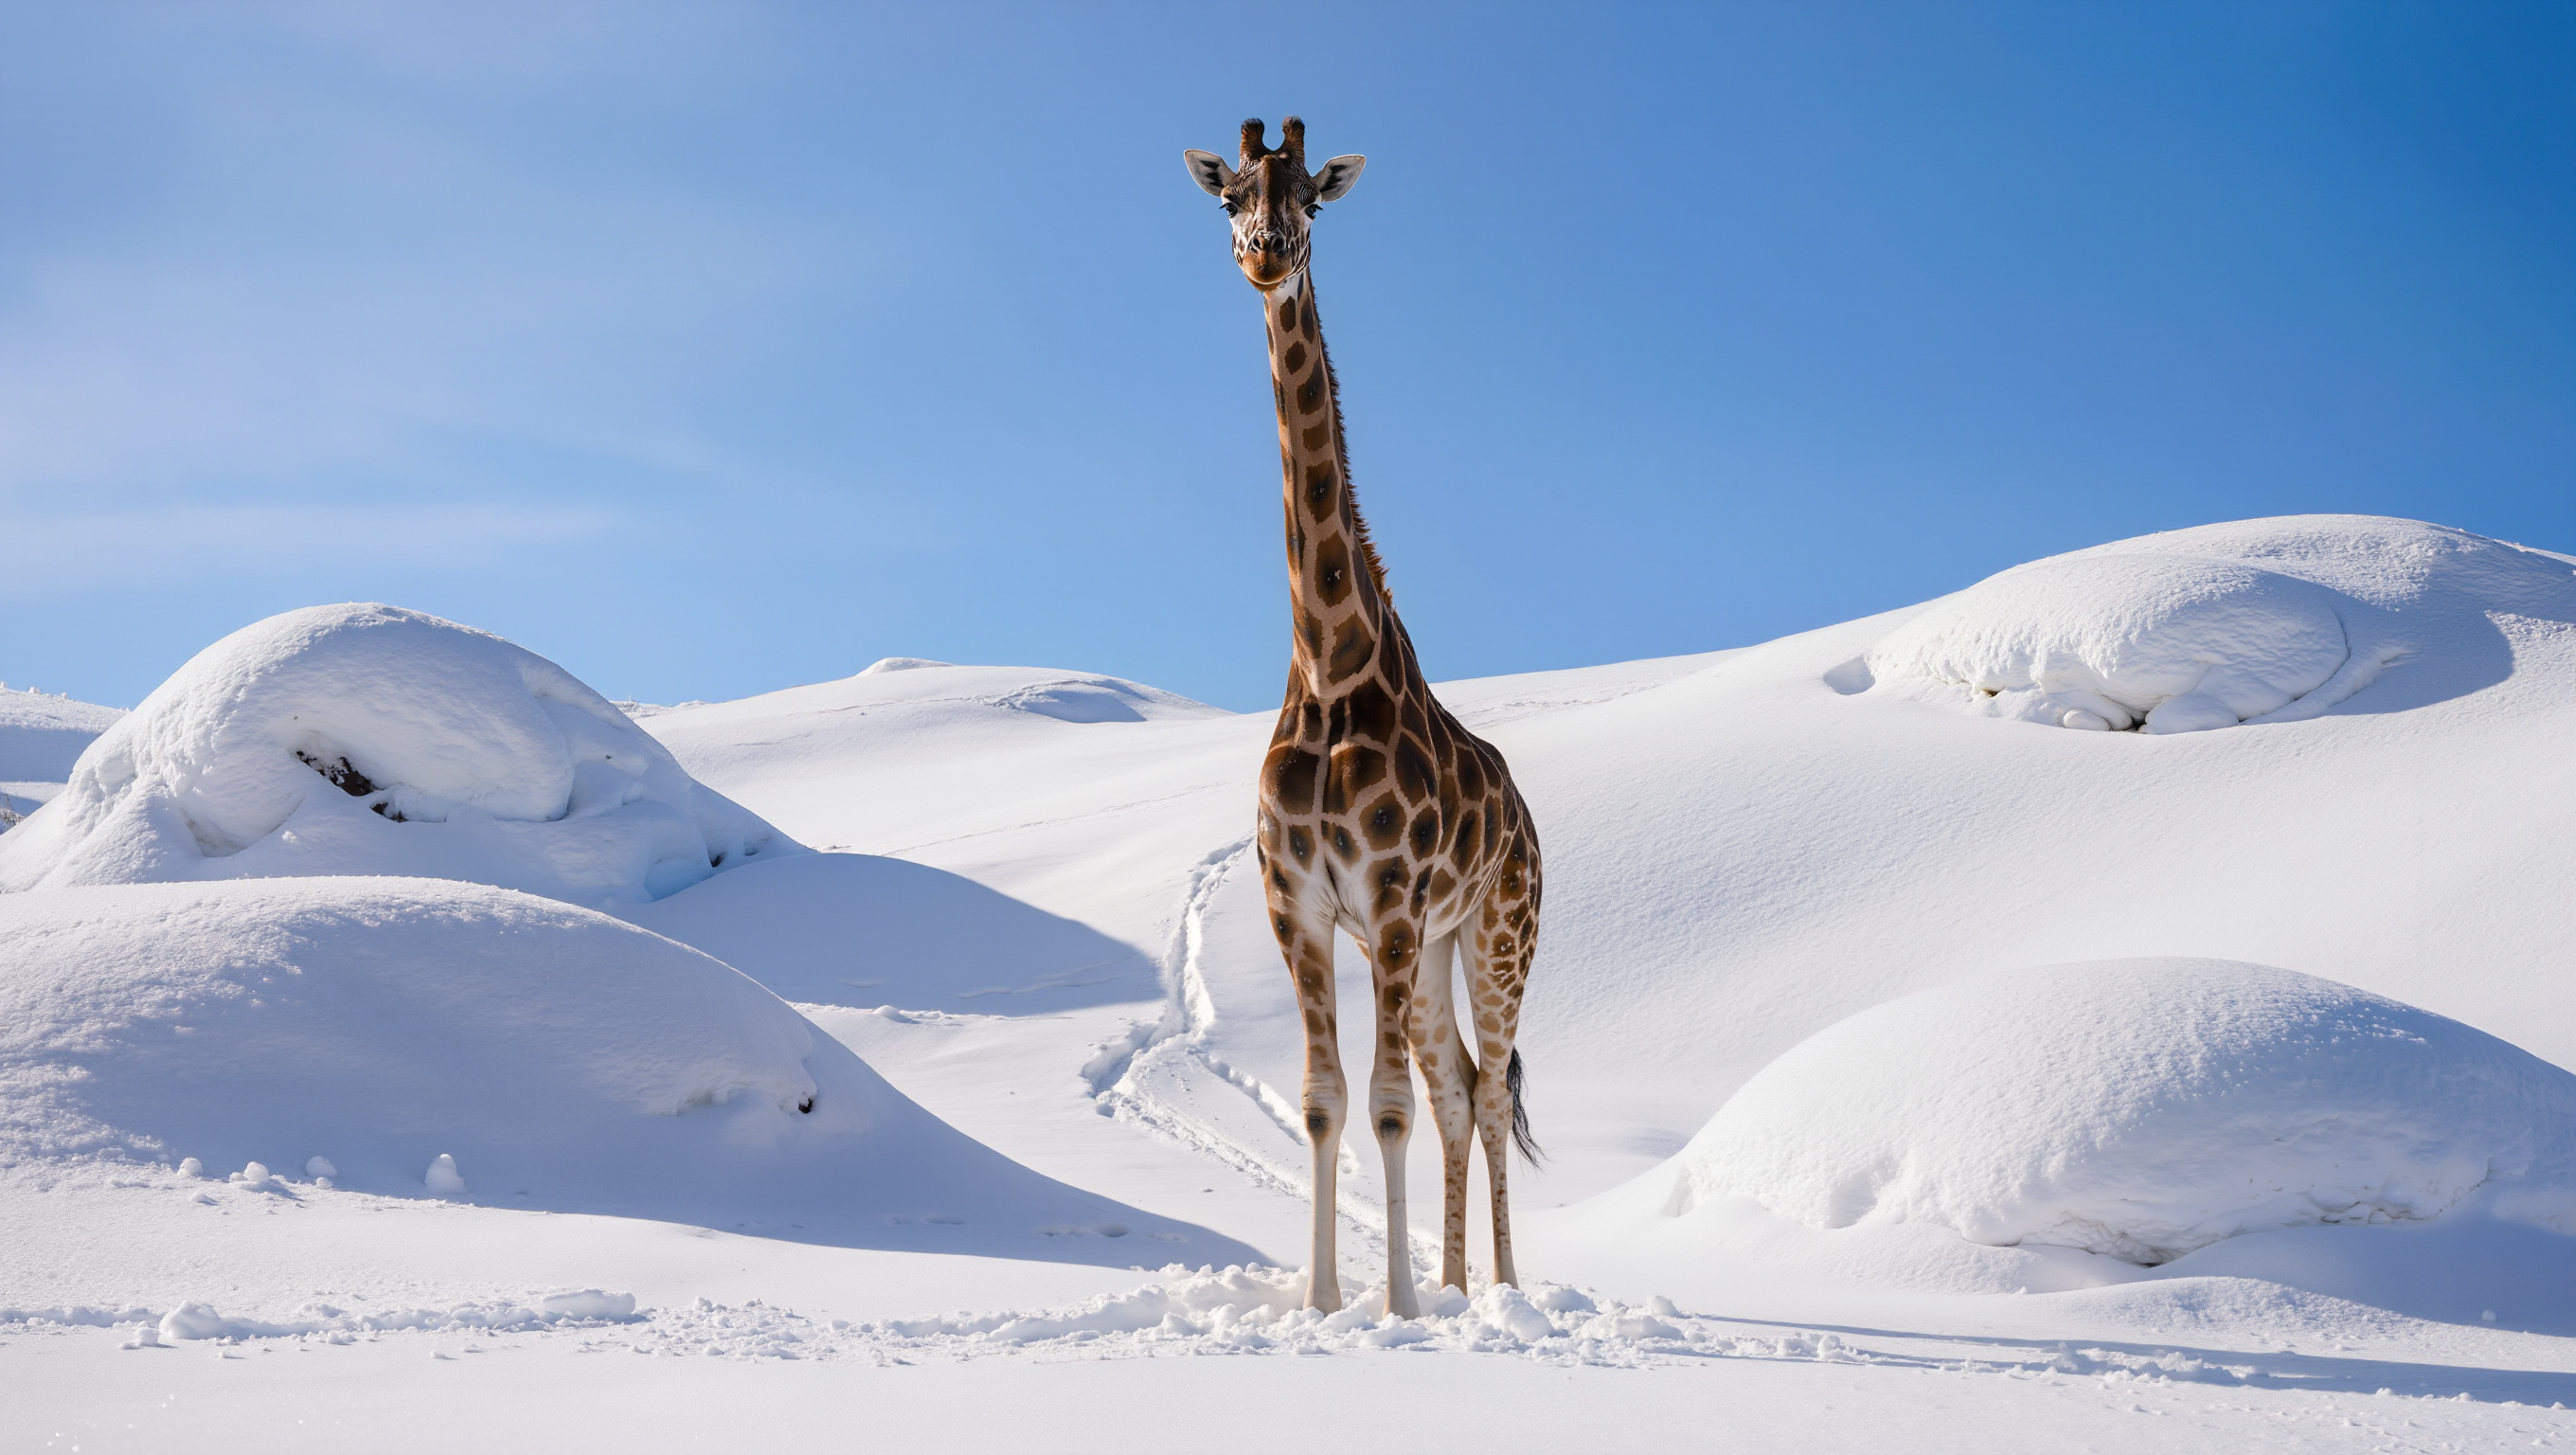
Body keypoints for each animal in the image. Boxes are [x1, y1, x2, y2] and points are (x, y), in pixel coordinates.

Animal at [1184, 117, 1543, 1317]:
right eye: (1229, 198)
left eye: (1311, 198)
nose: (1265, 253)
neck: (1330, 666)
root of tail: (1530, 823)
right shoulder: (1295, 904)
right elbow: (1324, 1099)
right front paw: (1326, 1304)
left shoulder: (1386, 900)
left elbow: (1380, 1104)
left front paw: (1388, 1310)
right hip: (1430, 954)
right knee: (1458, 1085)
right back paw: (1459, 1290)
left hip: (1494, 935)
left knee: (1486, 1092)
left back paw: (1502, 1294)